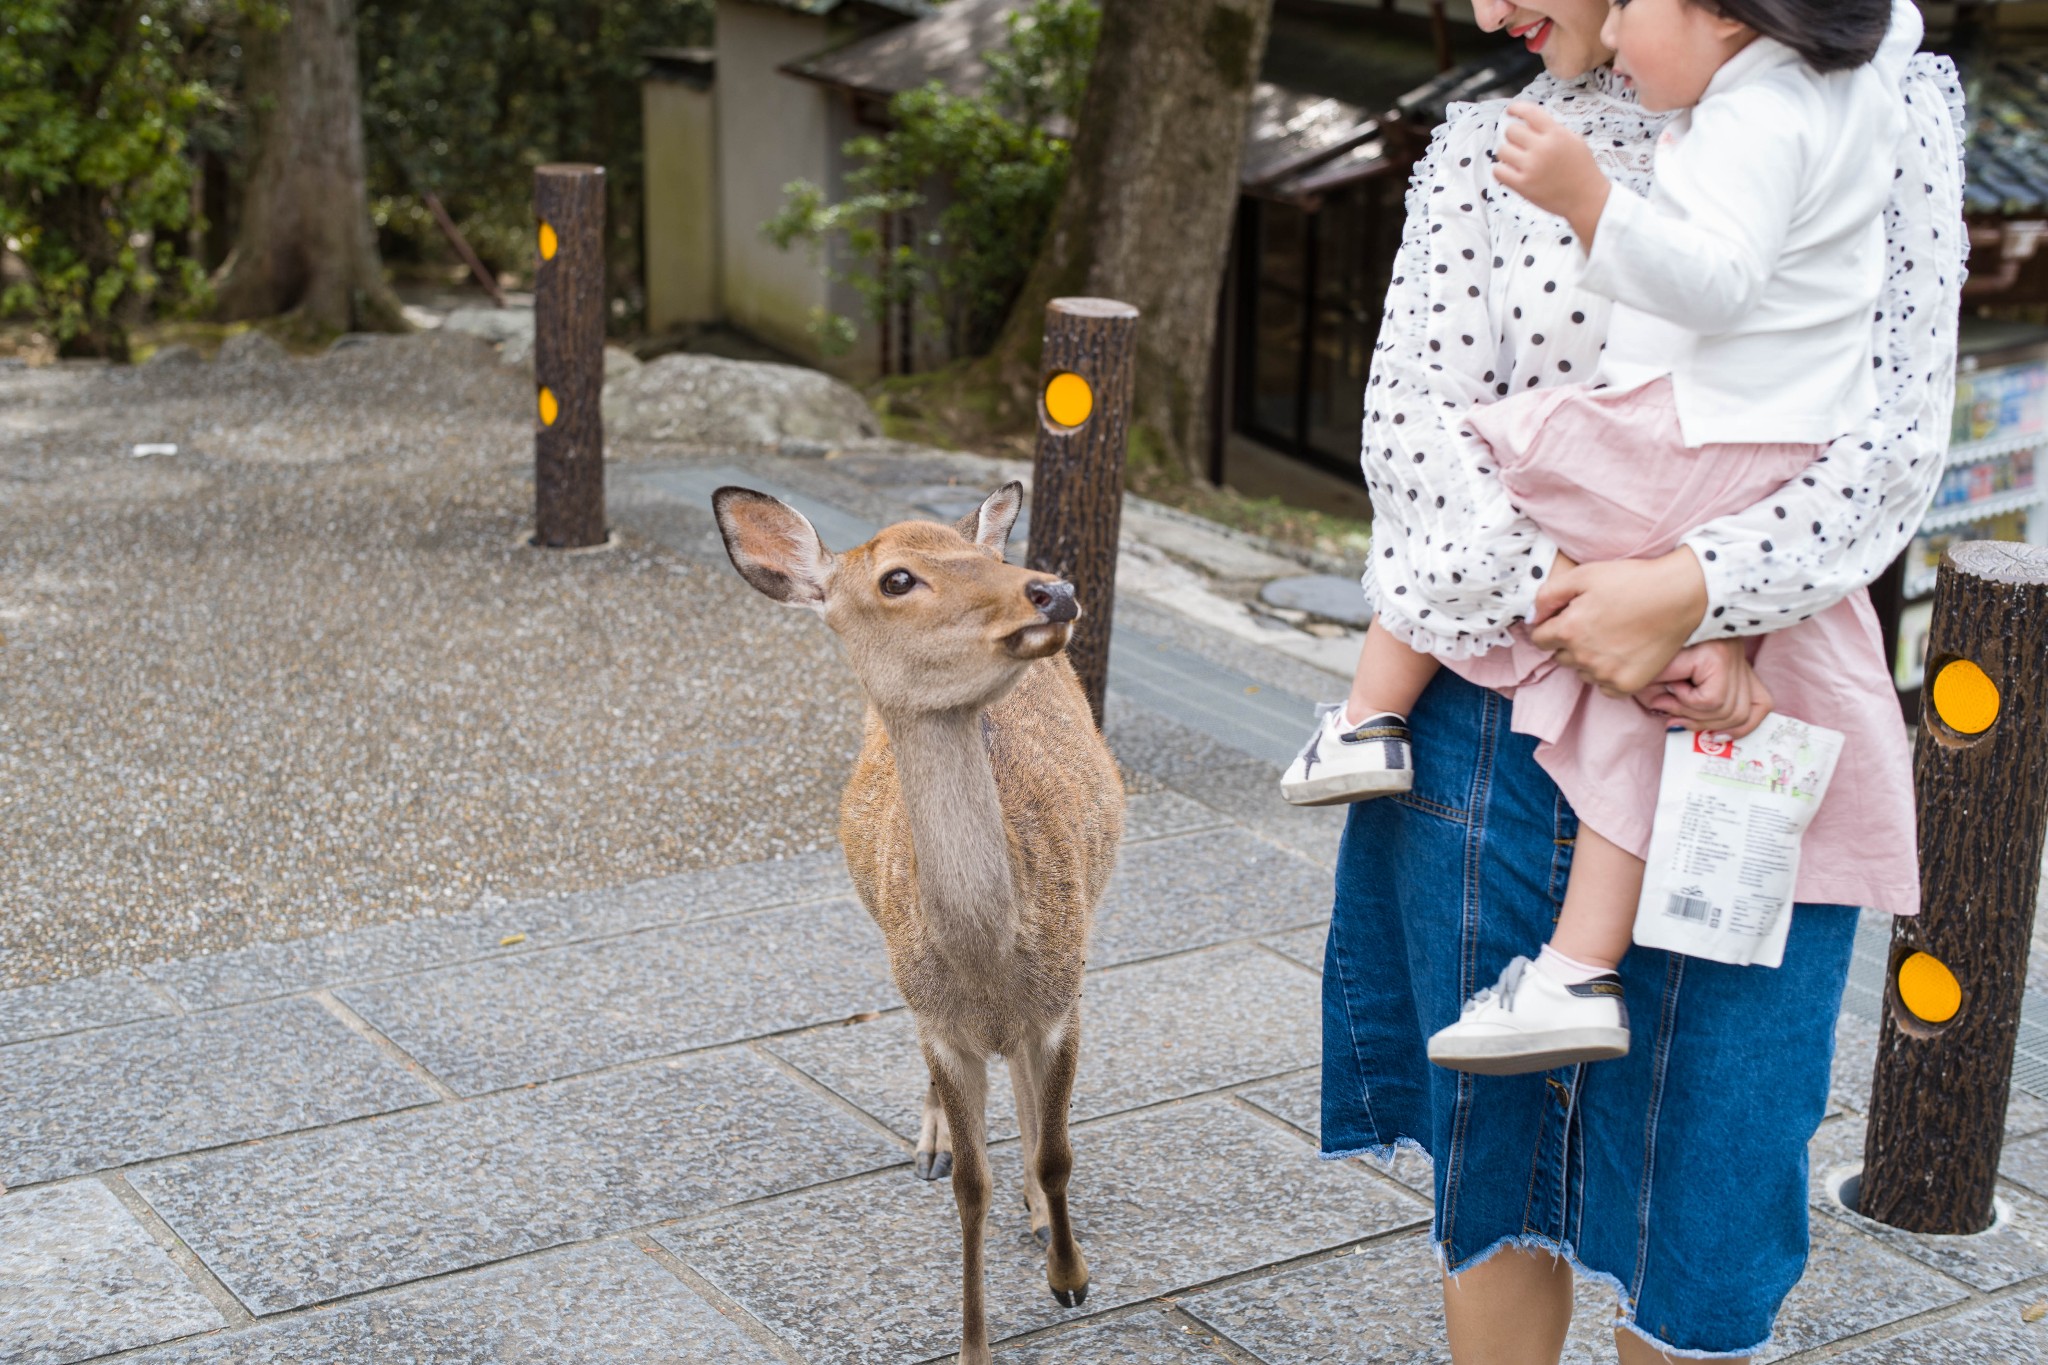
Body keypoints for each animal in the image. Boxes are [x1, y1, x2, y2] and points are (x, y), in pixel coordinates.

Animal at [716, 482, 1130, 1365]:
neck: (989, 964)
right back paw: (934, 1145)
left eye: (979, 556)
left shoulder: (1065, 1000)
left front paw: (1070, 1275)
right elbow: (972, 1187)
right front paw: (975, 1343)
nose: (1052, 589)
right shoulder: (942, 1024)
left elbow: (1056, 1151)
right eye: (898, 579)